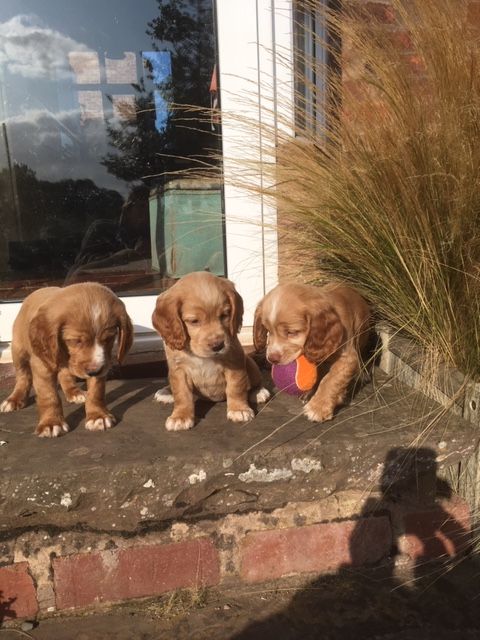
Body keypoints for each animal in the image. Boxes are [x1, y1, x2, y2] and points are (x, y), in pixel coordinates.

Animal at [0, 282, 133, 438]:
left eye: (109, 338)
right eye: (75, 341)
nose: (94, 371)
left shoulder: (100, 364)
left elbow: (96, 391)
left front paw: (97, 416)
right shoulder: (42, 365)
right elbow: (49, 395)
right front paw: (51, 423)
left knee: (64, 374)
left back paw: (74, 392)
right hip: (18, 350)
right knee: (23, 376)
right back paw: (14, 399)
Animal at [151, 270, 270, 430]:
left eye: (224, 315)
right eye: (194, 321)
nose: (218, 345)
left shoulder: (235, 363)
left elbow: (236, 388)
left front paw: (239, 409)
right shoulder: (179, 370)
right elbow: (182, 394)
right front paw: (180, 417)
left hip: (250, 363)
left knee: (256, 381)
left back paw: (259, 392)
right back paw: (166, 392)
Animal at [253, 282, 374, 422]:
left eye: (292, 332)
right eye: (268, 331)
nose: (272, 358)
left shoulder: (347, 357)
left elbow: (331, 379)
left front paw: (318, 408)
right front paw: (311, 393)